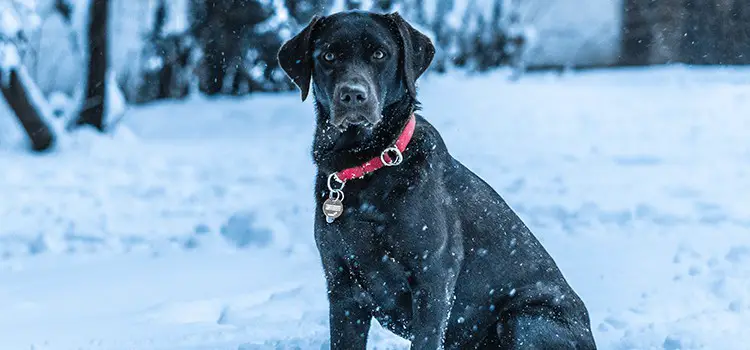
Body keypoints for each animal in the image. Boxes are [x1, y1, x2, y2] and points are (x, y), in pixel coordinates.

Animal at [280, 10, 596, 350]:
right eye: (328, 56)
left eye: (379, 54)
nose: (353, 95)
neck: (366, 165)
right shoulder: (342, 288)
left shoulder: (433, 278)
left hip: (526, 319)